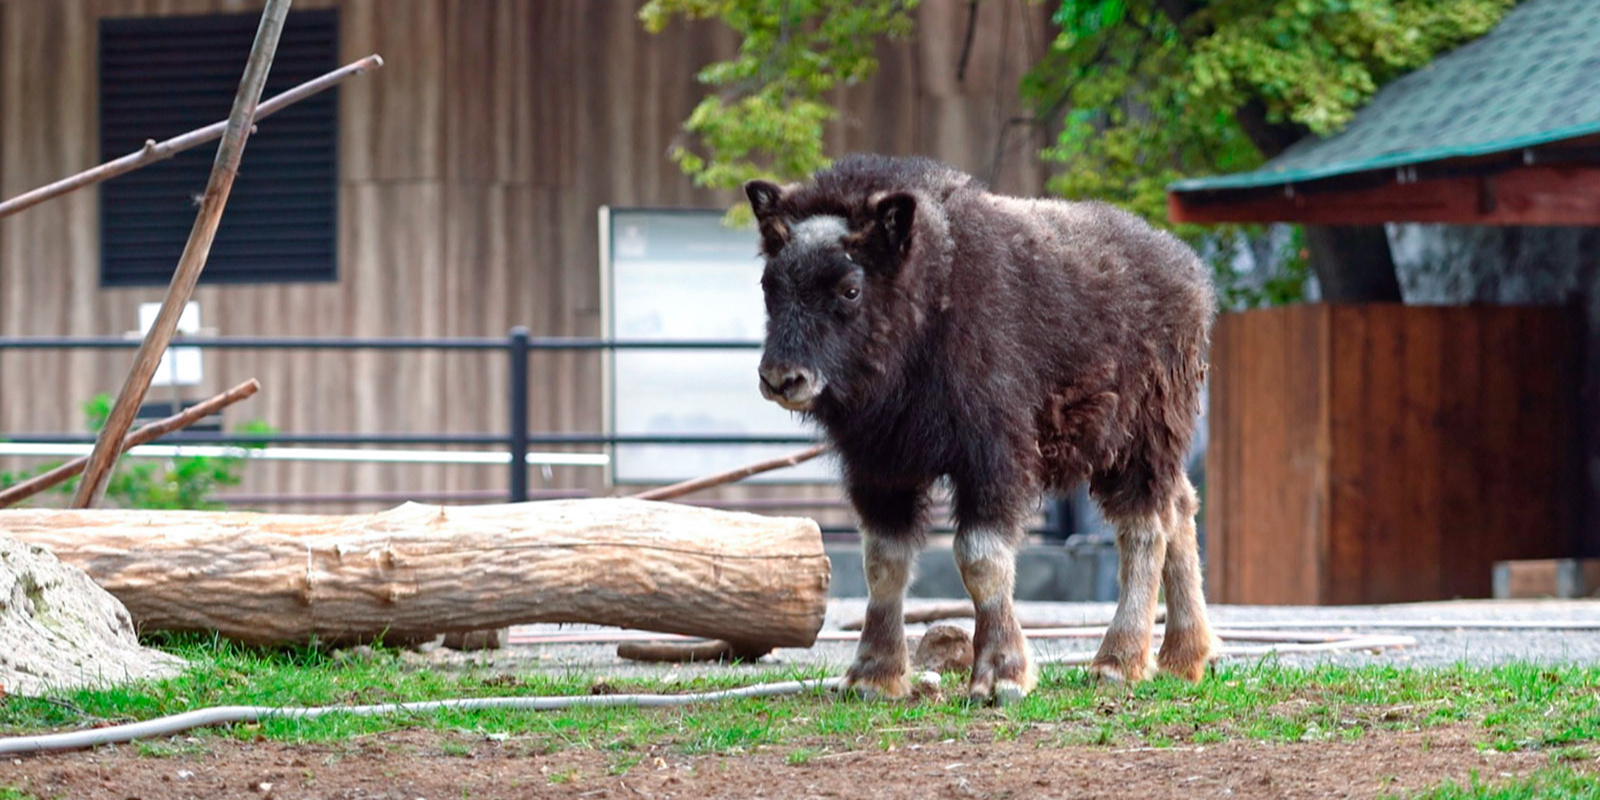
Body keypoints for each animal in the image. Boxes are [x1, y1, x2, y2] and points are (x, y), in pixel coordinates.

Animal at [742, 154, 1216, 700]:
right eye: (769, 285)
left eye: (849, 289)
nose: (781, 377)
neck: (931, 300)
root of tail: (1189, 272)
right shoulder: (881, 467)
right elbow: (882, 562)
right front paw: (872, 675)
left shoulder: (993, 458)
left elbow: (980, 558)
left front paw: (1000, 675)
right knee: (1179, 507)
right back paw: (1185, 656)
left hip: (1141, 440)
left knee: (1144, 529)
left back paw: (1117, 661)